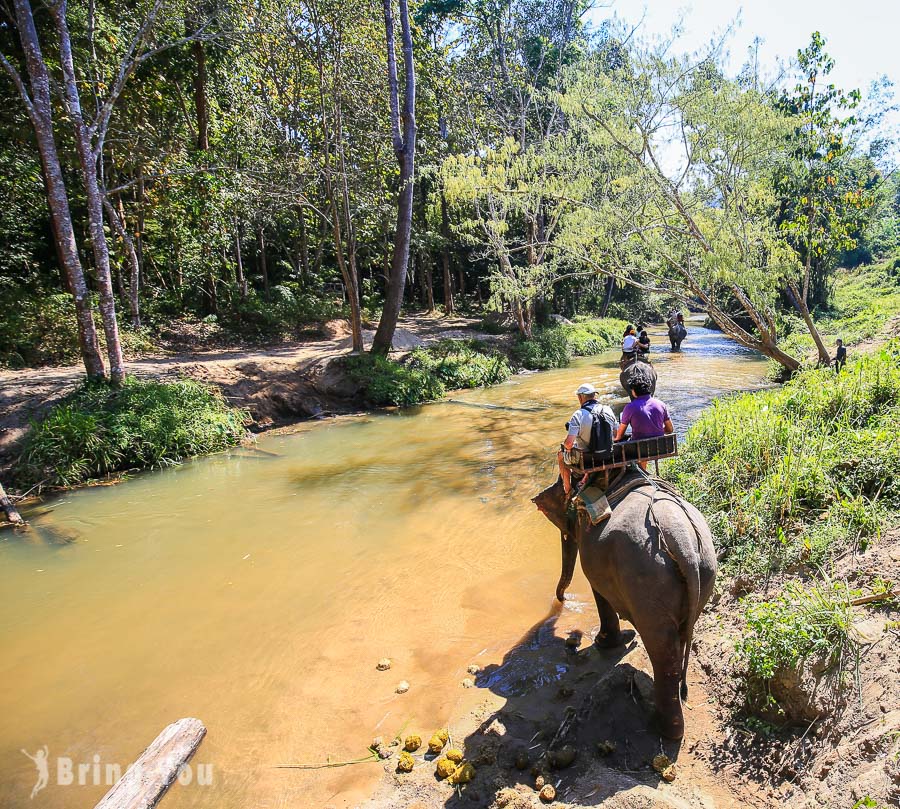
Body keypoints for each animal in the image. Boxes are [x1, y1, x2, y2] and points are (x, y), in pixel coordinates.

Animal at [536, 474, 716, 740]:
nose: (563, 600)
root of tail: (683, 545)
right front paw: (626, 638)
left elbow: (599, 593)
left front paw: (604, 643)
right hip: (704, 572)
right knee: (682, 635)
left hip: (649, 583)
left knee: (662, 651)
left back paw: (663, 728)